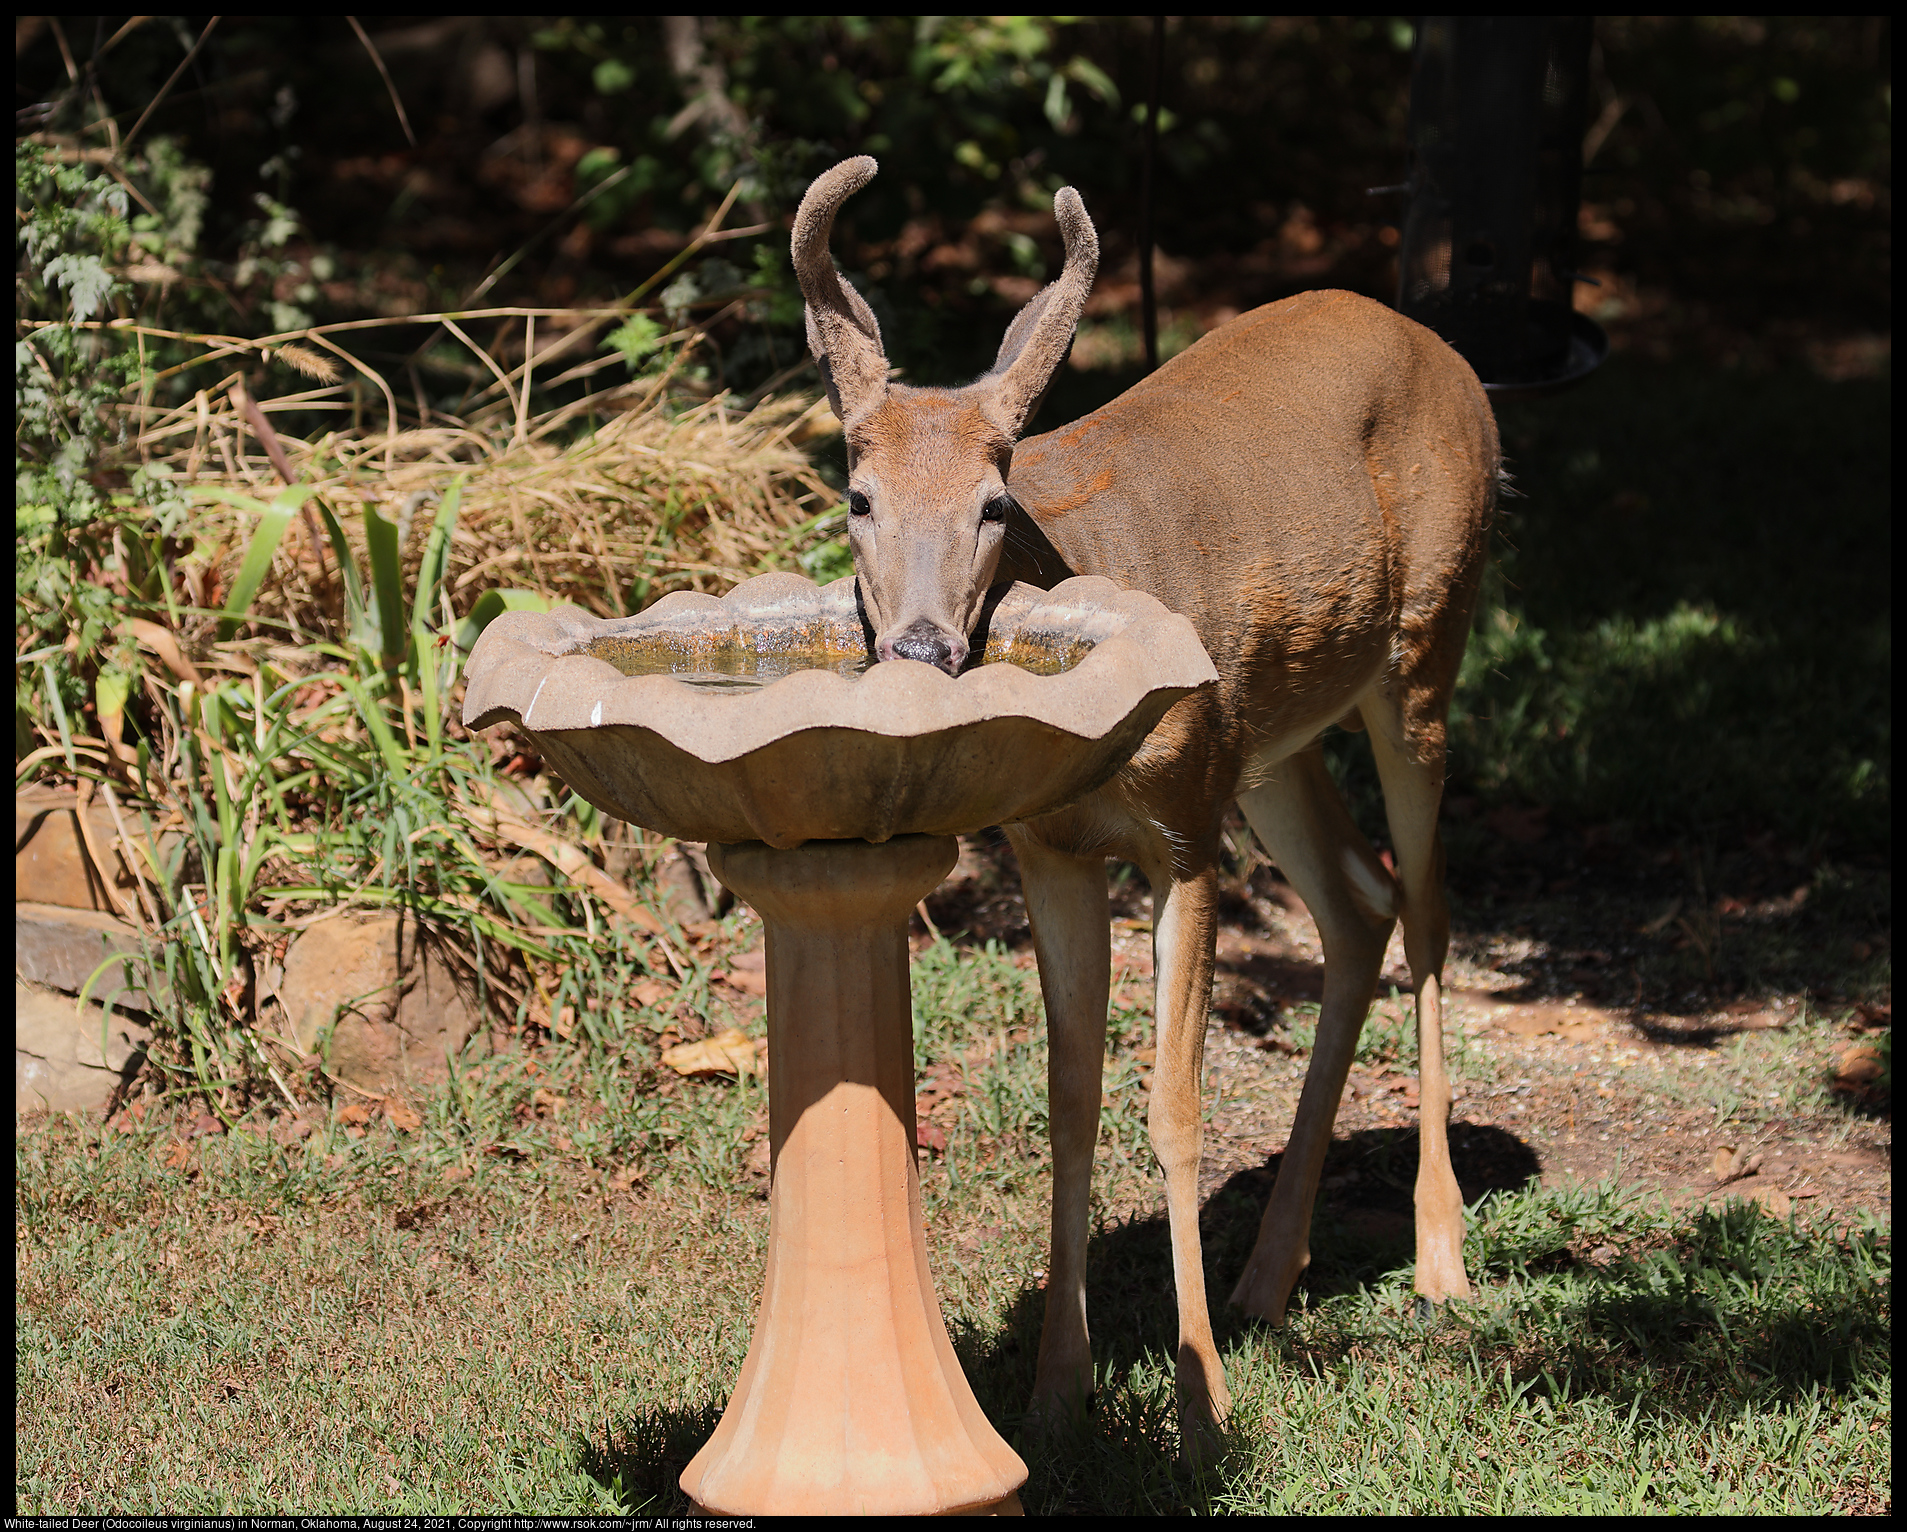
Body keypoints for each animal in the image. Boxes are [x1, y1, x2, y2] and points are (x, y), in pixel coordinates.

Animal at [789, 158, 1502, 1465]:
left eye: (989, 502)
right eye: (856, 495)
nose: (918, 647)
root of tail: (1435, 345)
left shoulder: (1182, 834)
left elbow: (1172, 1104)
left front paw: (1198, 1405)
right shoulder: (1049, 849)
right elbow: (1070, 1097)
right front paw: (1052, 1388)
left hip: (1424, 647)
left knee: (1428, 908)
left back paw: (1436, 1258)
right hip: (1269, 740)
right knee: (1358, 899)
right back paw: (1269, 1273)